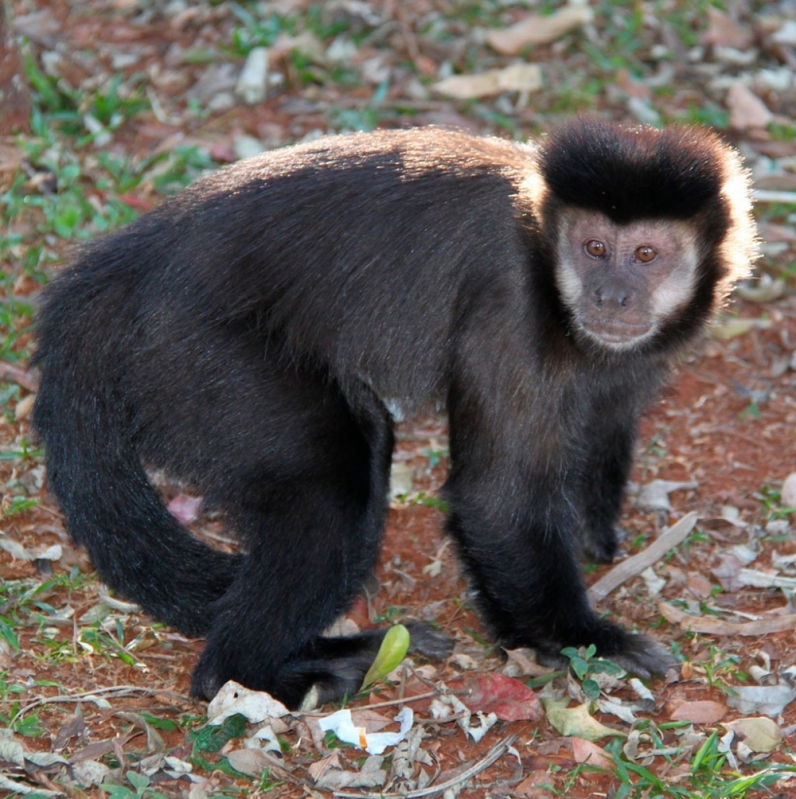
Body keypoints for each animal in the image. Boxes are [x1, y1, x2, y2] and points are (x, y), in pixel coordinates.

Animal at [31, 117, 760, 708]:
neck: (544, 244)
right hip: (190, 347)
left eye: (646, 255)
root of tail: (130, 260)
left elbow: (603, 418)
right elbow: (497, 499)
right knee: (337, 475)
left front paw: (590, 541)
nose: (611, 295)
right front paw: (581, 640)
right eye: (595, 249)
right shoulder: (510, 305)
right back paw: (264, 672)